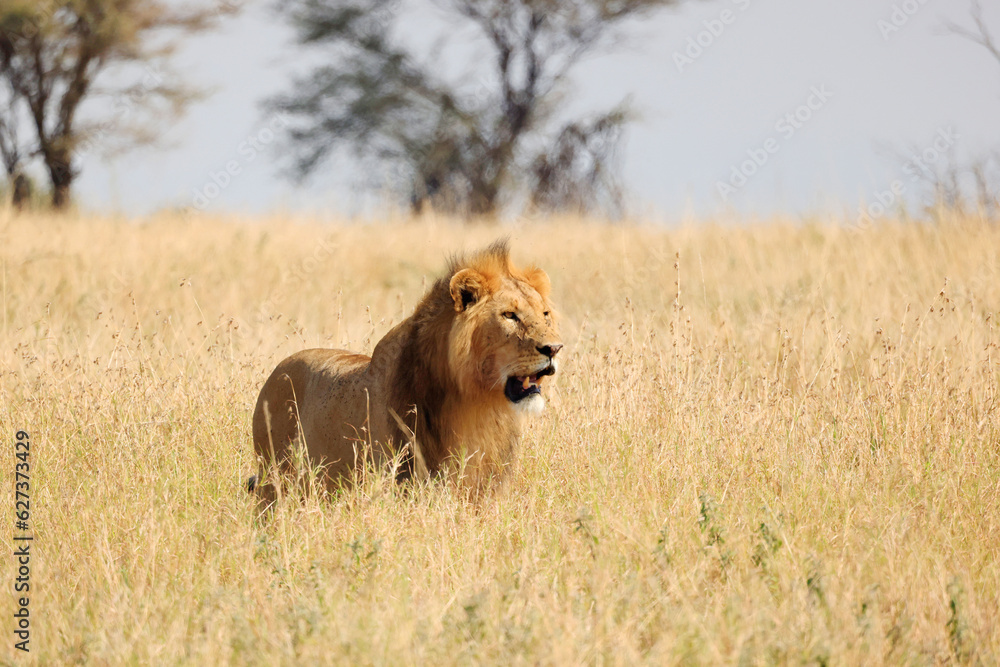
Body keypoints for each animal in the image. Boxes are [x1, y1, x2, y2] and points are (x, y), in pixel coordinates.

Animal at [250, 239, 562, 499]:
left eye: (545, 314)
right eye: (509, 315)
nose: (555, 348)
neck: (479, 402)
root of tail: (277, 370)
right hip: (273, 481)